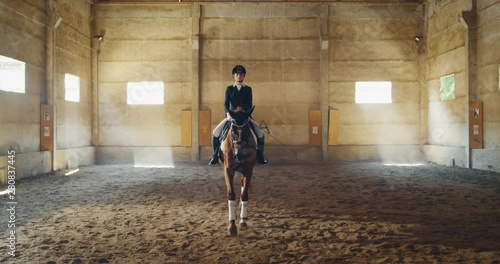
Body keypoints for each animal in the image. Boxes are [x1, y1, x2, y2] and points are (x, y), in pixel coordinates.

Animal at [220, 106, 258, 236]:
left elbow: (244, 194)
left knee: (242, 185)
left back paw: (242, 216)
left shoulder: (248, 171)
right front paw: (232, 226)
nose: (239, 155)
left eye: (247, 130)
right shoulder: (228, 170)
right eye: (233, 129)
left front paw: (242, 221)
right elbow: (231, 195)